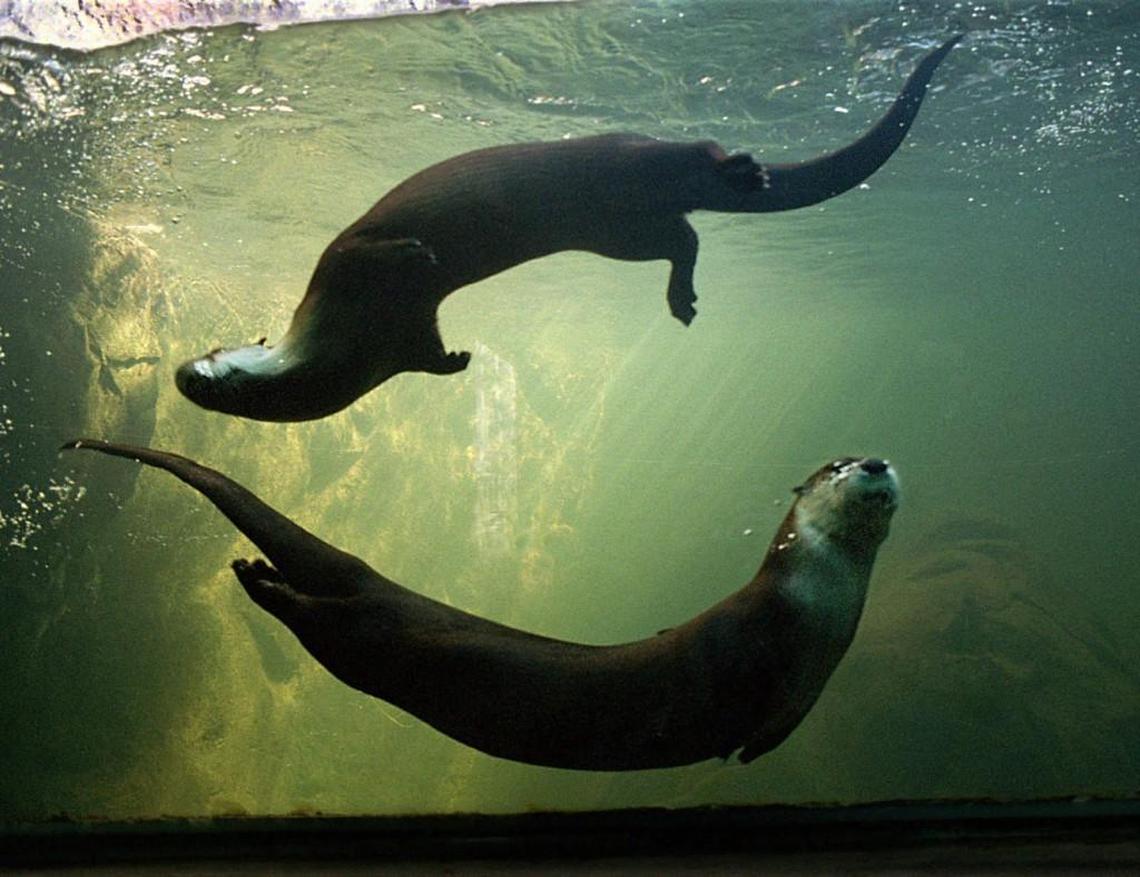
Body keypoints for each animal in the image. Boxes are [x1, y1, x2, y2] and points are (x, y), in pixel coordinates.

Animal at [63, 439, 899, 770]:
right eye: (835, 466)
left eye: (867, 454)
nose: (875, 461)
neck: (820, 607)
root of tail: (376, 578)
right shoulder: (762, 647)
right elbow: (756, 712)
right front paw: (743, 750)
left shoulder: (815, 672)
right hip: (369, 636)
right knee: (320, 623)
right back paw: (253, 576)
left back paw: (253, 568)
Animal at [175, 36, 961, 422]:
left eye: (211, 358)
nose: (185, 373)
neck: (345, 337)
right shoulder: (401, 337)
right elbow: (427, 352)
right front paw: (458, 360)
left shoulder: (343, 261)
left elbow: (377, 248)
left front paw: (421, 251)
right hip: (621, 231)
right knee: (684, 237)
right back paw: (683, 299)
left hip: (624, 157)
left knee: (695, 151)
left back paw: (743, 172)